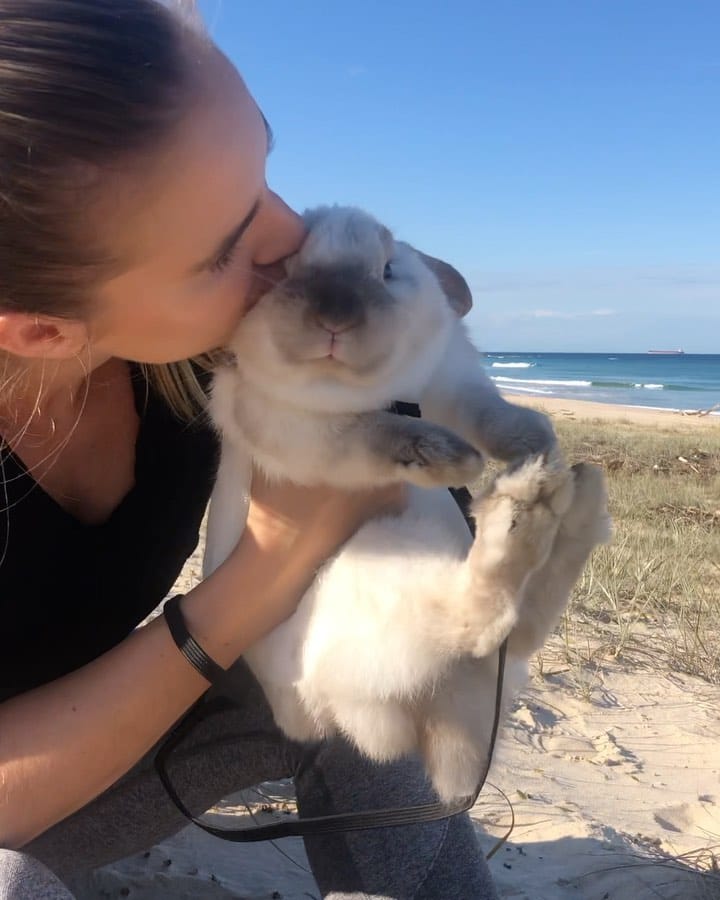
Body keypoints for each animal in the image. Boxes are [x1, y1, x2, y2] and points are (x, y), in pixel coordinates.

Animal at [204, 205, 611, 803]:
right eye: (286, 266)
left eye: (389, 269)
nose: (335, 316)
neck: (365, 388)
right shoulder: (296, 429)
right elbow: (374, 434)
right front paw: (450, 460)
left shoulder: (452, 380)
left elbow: (489, 413)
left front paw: (536, 440)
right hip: (384, 579)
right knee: (475, 620)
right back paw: (527, 507)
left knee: (520, 629)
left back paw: (569, 494)